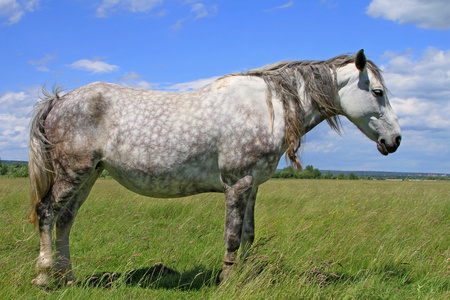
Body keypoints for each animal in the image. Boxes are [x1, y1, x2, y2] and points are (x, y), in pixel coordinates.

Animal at [28, 49, 400, 286]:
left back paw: (69, 278)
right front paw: (228, 280)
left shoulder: (253, 185)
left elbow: (249, 233)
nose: (394, 140)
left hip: (89, 175)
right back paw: (45, 277)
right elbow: (232, 235)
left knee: (65, 221)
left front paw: (246, 277)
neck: (269, 108)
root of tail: (59, 101)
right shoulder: (237, 183)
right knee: (47, 214)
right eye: (377, 92)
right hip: (72, 174)